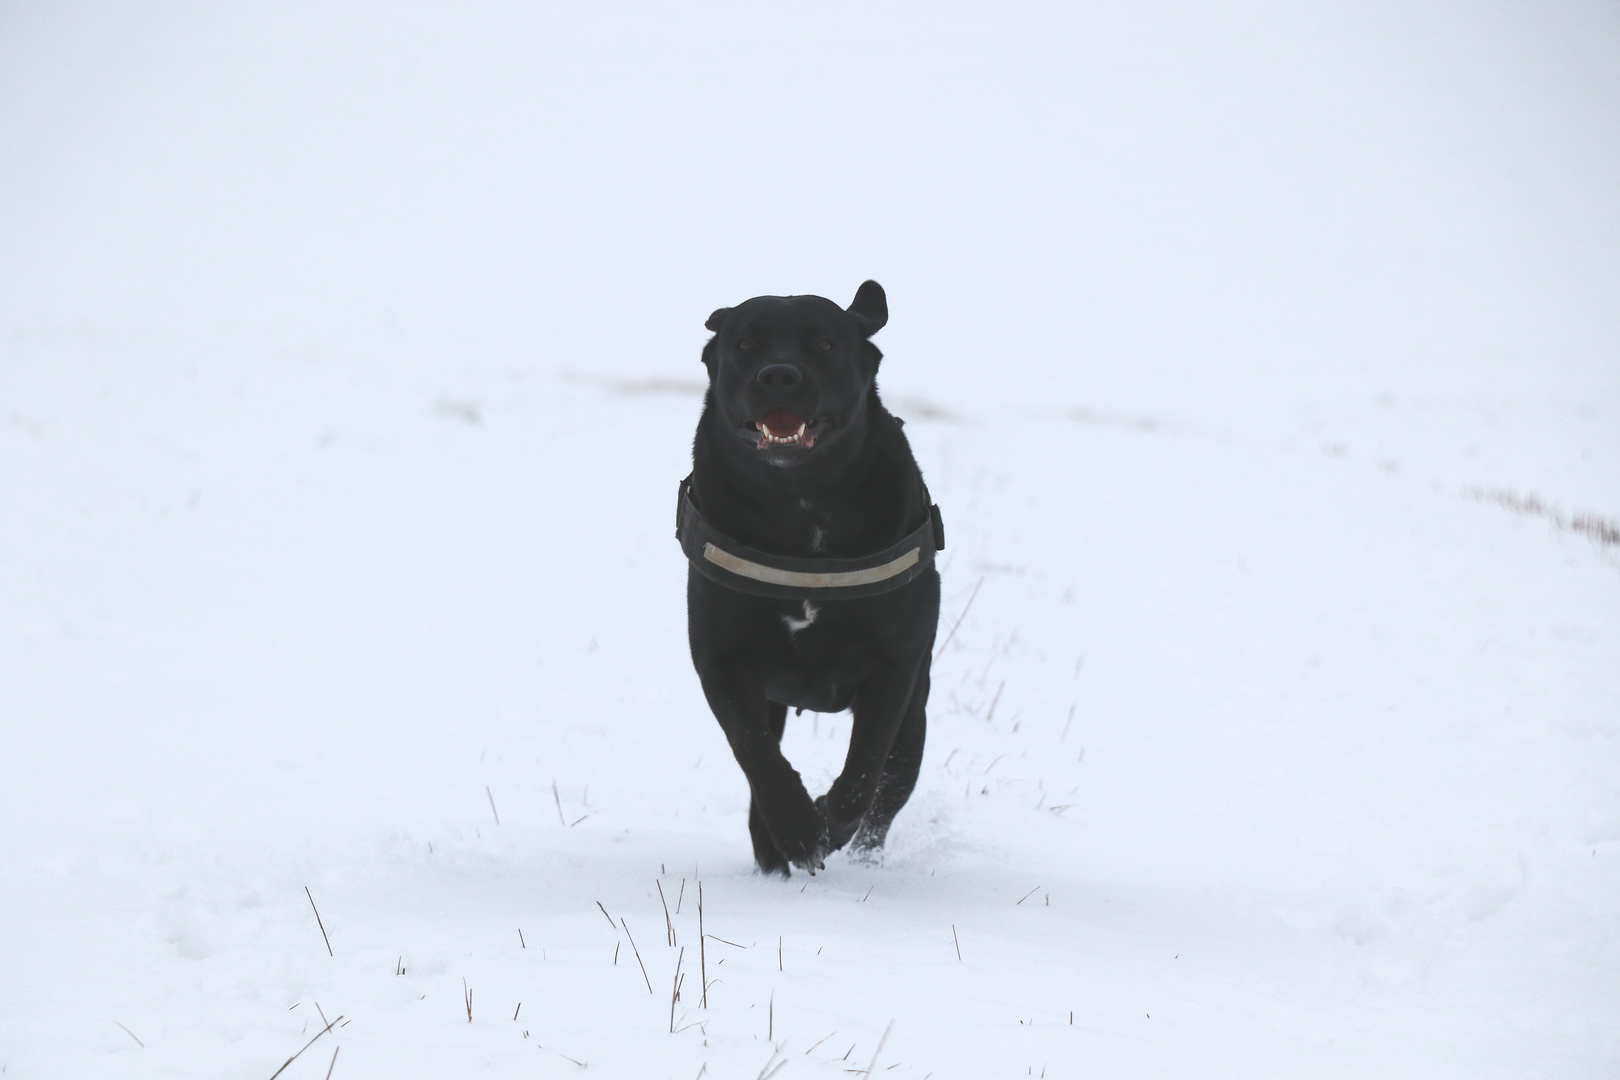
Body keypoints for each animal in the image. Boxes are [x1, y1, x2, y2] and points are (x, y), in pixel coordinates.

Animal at [677, 281, 946, 880]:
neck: (800, 503)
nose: (779, 375)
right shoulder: (720, 658)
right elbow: (753, 748)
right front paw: (797, 828)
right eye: (744, 344)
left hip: (915, 718)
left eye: (824, 345)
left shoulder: (893, 669)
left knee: (888, 794)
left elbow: (864, 769)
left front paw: (826, 820)